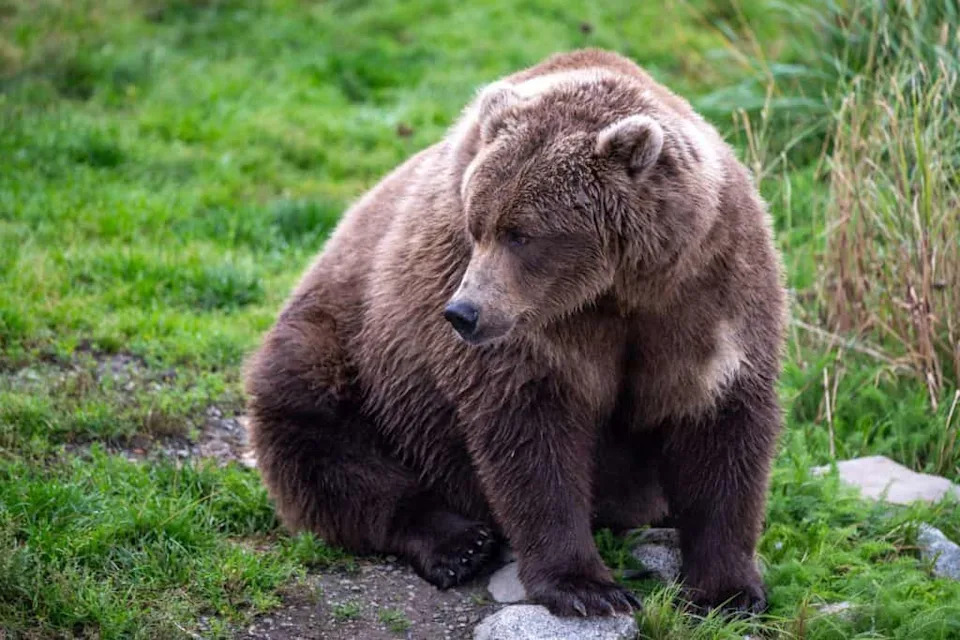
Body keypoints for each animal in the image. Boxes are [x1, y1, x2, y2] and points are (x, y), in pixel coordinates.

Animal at [244, 49, 786, 617]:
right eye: (475, 224)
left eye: (522, 234)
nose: (462, 313)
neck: (615, 290)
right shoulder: (530, 331)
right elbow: (529, 435)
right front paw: (587, 587)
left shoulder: (706, 293)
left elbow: (720, 430)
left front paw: (728, 590)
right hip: (347, 349)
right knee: (322, 440)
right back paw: (458, 543)